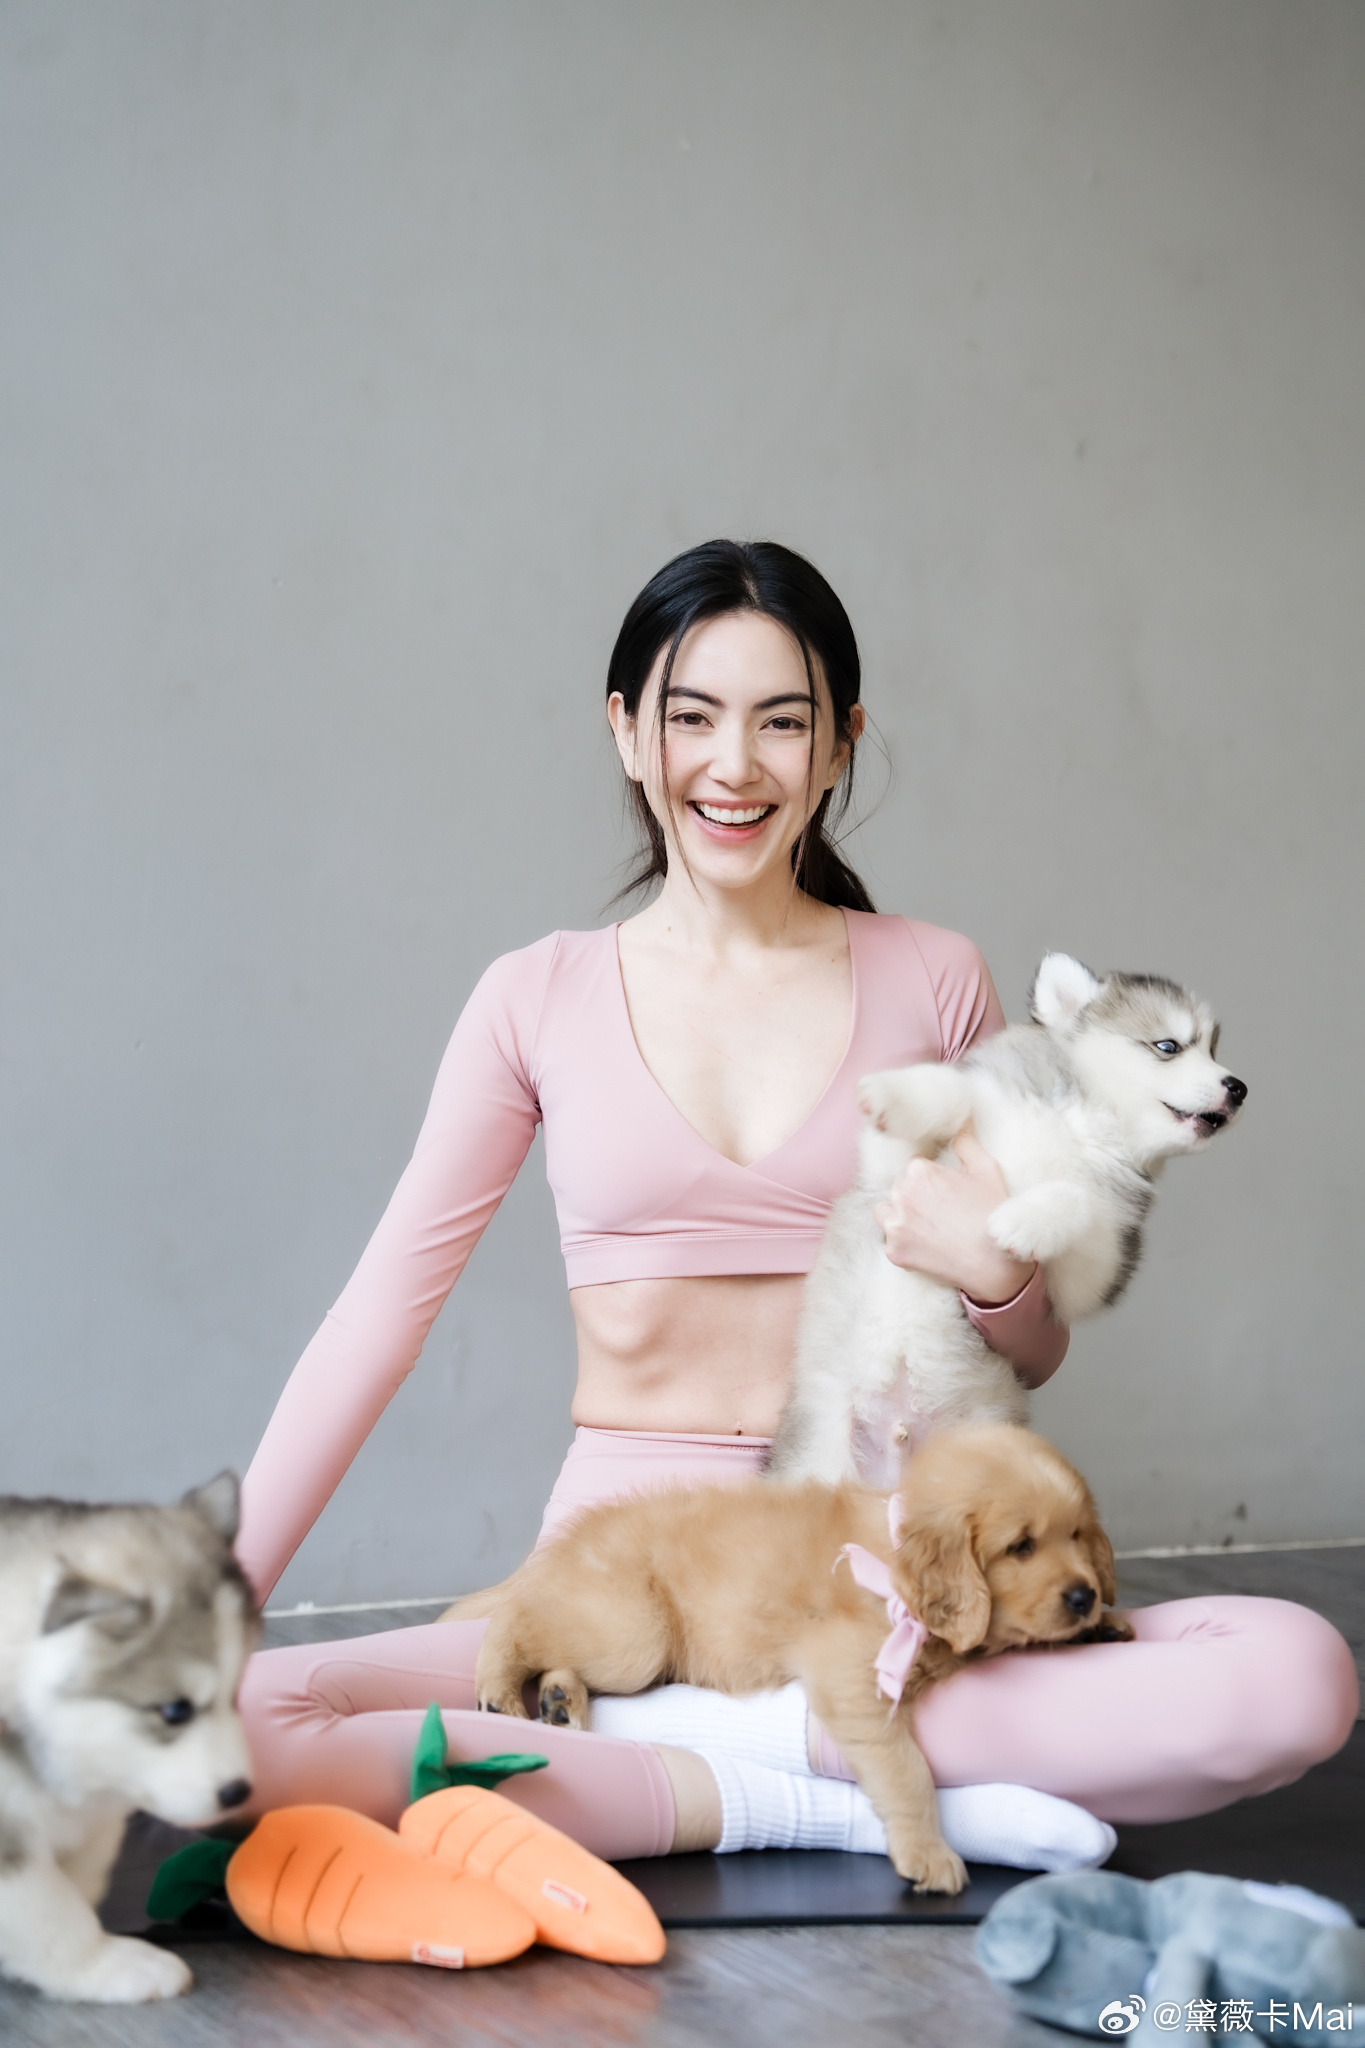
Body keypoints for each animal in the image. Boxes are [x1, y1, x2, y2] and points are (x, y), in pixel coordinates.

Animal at [0, 1473, 259, 2003]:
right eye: (175, 1710)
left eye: (236, 1693)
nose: (238, 1793)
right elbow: (46, 1909)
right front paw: (105, 1962)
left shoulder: (94, 1812)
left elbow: (85, 1867)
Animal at [473, 1423, 1131, 1895]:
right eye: (1021, 1547)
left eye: (1077, 1535)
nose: (1082, 1596)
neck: (897, 1565)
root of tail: (567, 1544)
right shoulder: (851, 1675)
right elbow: (906, 1769)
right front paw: (928, 1853)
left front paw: (1106, 1623)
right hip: (634, 1635)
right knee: (518, 1619)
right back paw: (500, 1686)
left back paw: (560, 1700)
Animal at [767, 954, 1246, 1487]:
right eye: (1169, 1046)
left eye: (1213, 1049)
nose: (1238, 1088)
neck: (1080, 1124)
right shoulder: (888, 1178)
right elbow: (952, 1094)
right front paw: (892, 1093)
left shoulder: (1096, 1268)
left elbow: (1079, 1202)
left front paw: (1018, 1223)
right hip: (819, 1456)